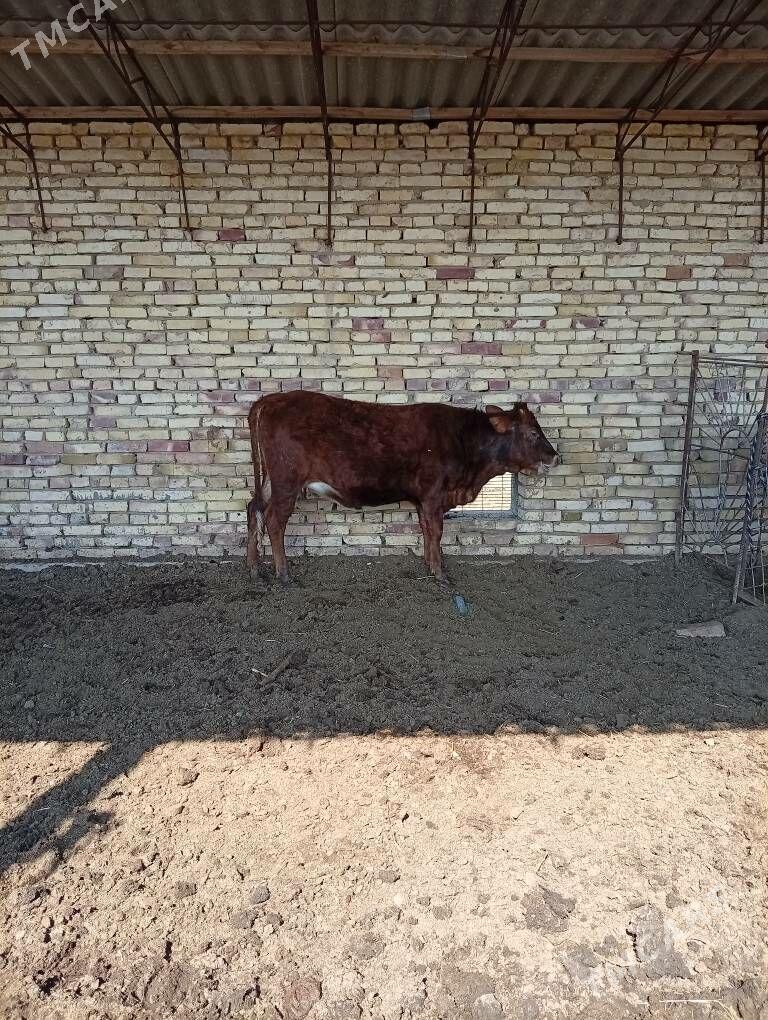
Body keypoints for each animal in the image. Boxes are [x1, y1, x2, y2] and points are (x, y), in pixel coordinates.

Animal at [246, 391, 558, 584]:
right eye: (533, 433)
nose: (556, 456)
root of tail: (270, 400)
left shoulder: (423, 500)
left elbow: (426, 530)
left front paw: (429, 564)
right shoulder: (434, 495)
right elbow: (436, 531)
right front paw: (440, 575)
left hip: (271, 480)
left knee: (253, 509)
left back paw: (254, 568)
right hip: (287, 481)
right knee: (274, 520)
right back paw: (283, 574)